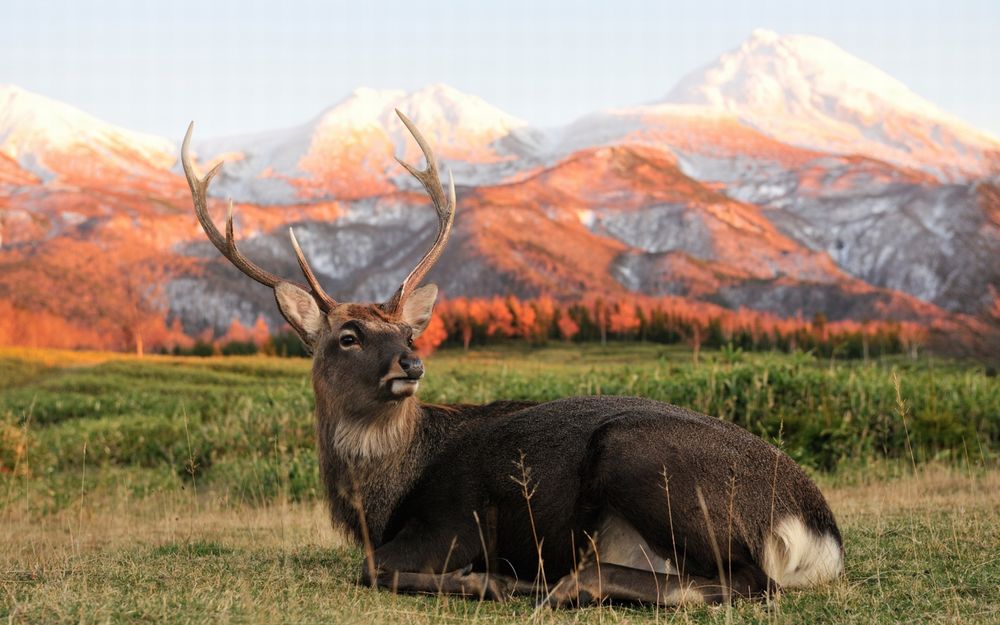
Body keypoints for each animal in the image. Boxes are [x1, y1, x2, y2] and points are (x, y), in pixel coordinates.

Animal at [180, 112, 844, 608]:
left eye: (408, 333)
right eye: (347, 336)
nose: (410, 365)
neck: (380, 500)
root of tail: (817, 529)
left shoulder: (452, 521)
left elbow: (371, 569)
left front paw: (486, 579)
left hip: (641, 458)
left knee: (750, 582)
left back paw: (555, 583)